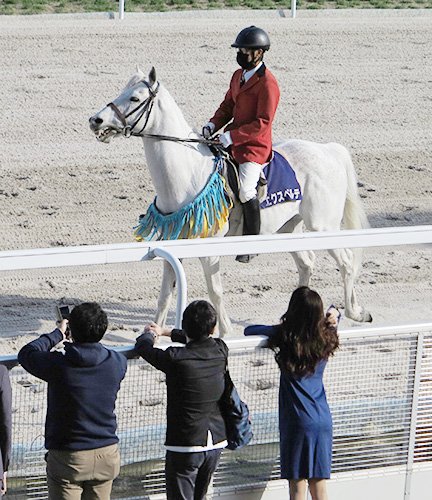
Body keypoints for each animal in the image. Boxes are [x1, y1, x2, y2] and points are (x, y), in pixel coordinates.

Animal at [88, 65, 372, 332]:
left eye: (135, 98)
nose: (95, 120)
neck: (189, 172)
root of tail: (328, 150)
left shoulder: (209, 249)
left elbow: (215, 291)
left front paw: (225, 331)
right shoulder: (174, 246)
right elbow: (165, 295)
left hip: (323, 228)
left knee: (346, 263)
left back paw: (356, 313)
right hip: (289, 230)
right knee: (306, 264)